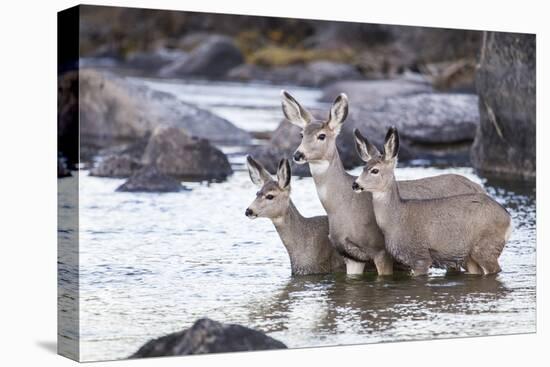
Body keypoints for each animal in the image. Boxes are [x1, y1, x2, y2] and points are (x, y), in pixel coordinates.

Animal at [282, 90, 486, 276]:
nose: (298, 155)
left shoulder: (380, 249)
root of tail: (479, 187)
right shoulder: (351, 256)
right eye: (301, 134)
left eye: (322, 136)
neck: (342, 205)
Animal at [354, 129, 512, 276]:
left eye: (375, 170)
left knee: (496, 269)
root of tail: (508, 218)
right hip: (470, 255)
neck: (396, 219)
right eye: (363, 168)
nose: (355, 184)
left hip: (487, 246)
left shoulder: (420, 256)